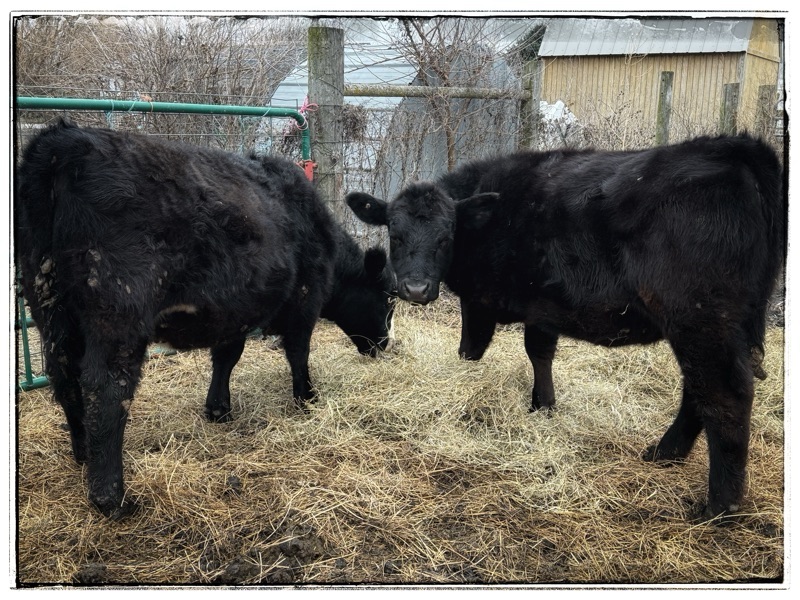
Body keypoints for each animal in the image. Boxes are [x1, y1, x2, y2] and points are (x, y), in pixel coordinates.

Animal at [15, 119, 395, 519]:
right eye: (388, 296)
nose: (384, 344)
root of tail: (63, 140)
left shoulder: (234, 308)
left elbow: (226, 356)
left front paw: (218, 408)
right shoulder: (304, 299)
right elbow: (298, 352)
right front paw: (307, 397)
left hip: (50, 306)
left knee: (65, 375)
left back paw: (83, 454)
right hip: (118, 311)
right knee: (106, 388)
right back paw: (112, 498)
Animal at [346, 133, 785, 520]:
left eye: (446, 235)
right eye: (395, 233)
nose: (416, 289)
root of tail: (735, 147)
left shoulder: (481, 301)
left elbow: (473, 349)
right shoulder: (544, 305)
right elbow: (540, 351)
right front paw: (543, 406)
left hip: (700, 319)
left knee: (724, 395)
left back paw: (719, 506)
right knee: (699, 389)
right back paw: (665, 454)